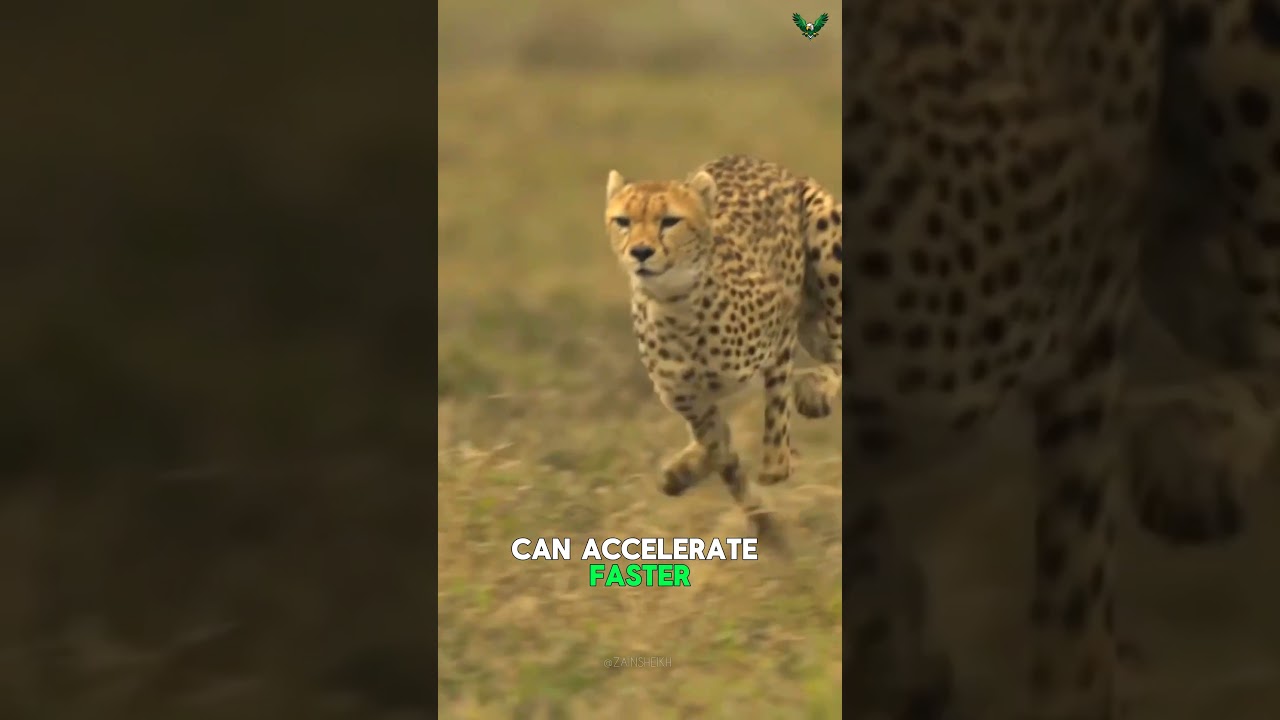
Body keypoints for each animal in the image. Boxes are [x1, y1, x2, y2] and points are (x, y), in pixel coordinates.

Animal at [602, 155, 844, 541]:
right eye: (623, 221)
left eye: (669, 220)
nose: (640, 252)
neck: (677, 304)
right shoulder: (684, 397)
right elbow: (719, 448)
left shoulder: (782, 323)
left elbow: (775, 411)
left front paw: (775, 465)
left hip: (825, 251)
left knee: (840, 349)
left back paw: (814, 392)